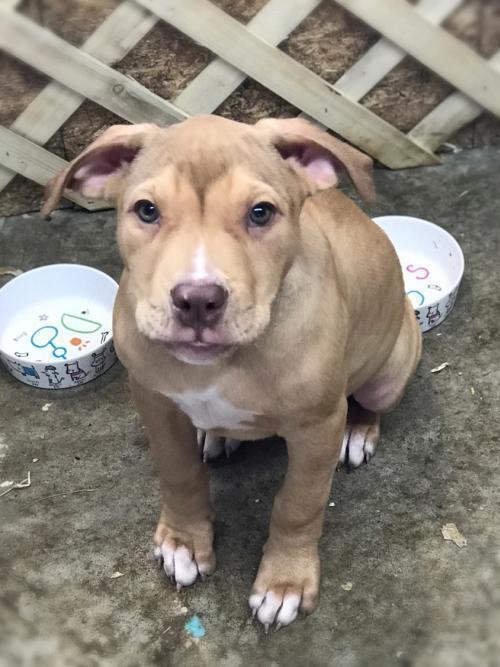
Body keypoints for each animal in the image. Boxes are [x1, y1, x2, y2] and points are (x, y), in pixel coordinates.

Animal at [44, 115, 422, 632]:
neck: (225, 365)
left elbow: (298, 504)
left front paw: (285, 581)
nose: (198, 300)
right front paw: (184, 540)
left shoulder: (318, 426)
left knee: (370, 402)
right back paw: (217, 436)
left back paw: (359, 431)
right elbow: (178, 472)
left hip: (389, 367)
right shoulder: (154, 401)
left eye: (260, 213)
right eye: (146, 210)